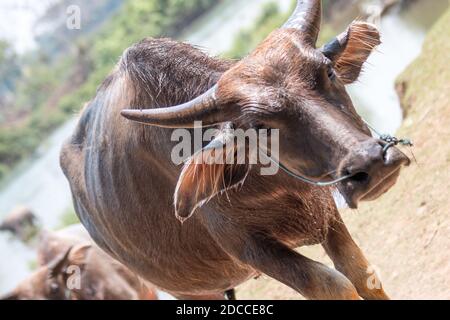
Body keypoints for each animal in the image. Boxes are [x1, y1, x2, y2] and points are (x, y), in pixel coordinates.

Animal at [60, 0, 412, 300]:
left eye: (329, 72)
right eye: (259, 125)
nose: (371, 163)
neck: (272, 184)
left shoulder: (326, 212)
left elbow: (361, 272)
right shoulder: (252, 249)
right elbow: (333, 285)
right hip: (188, 290)